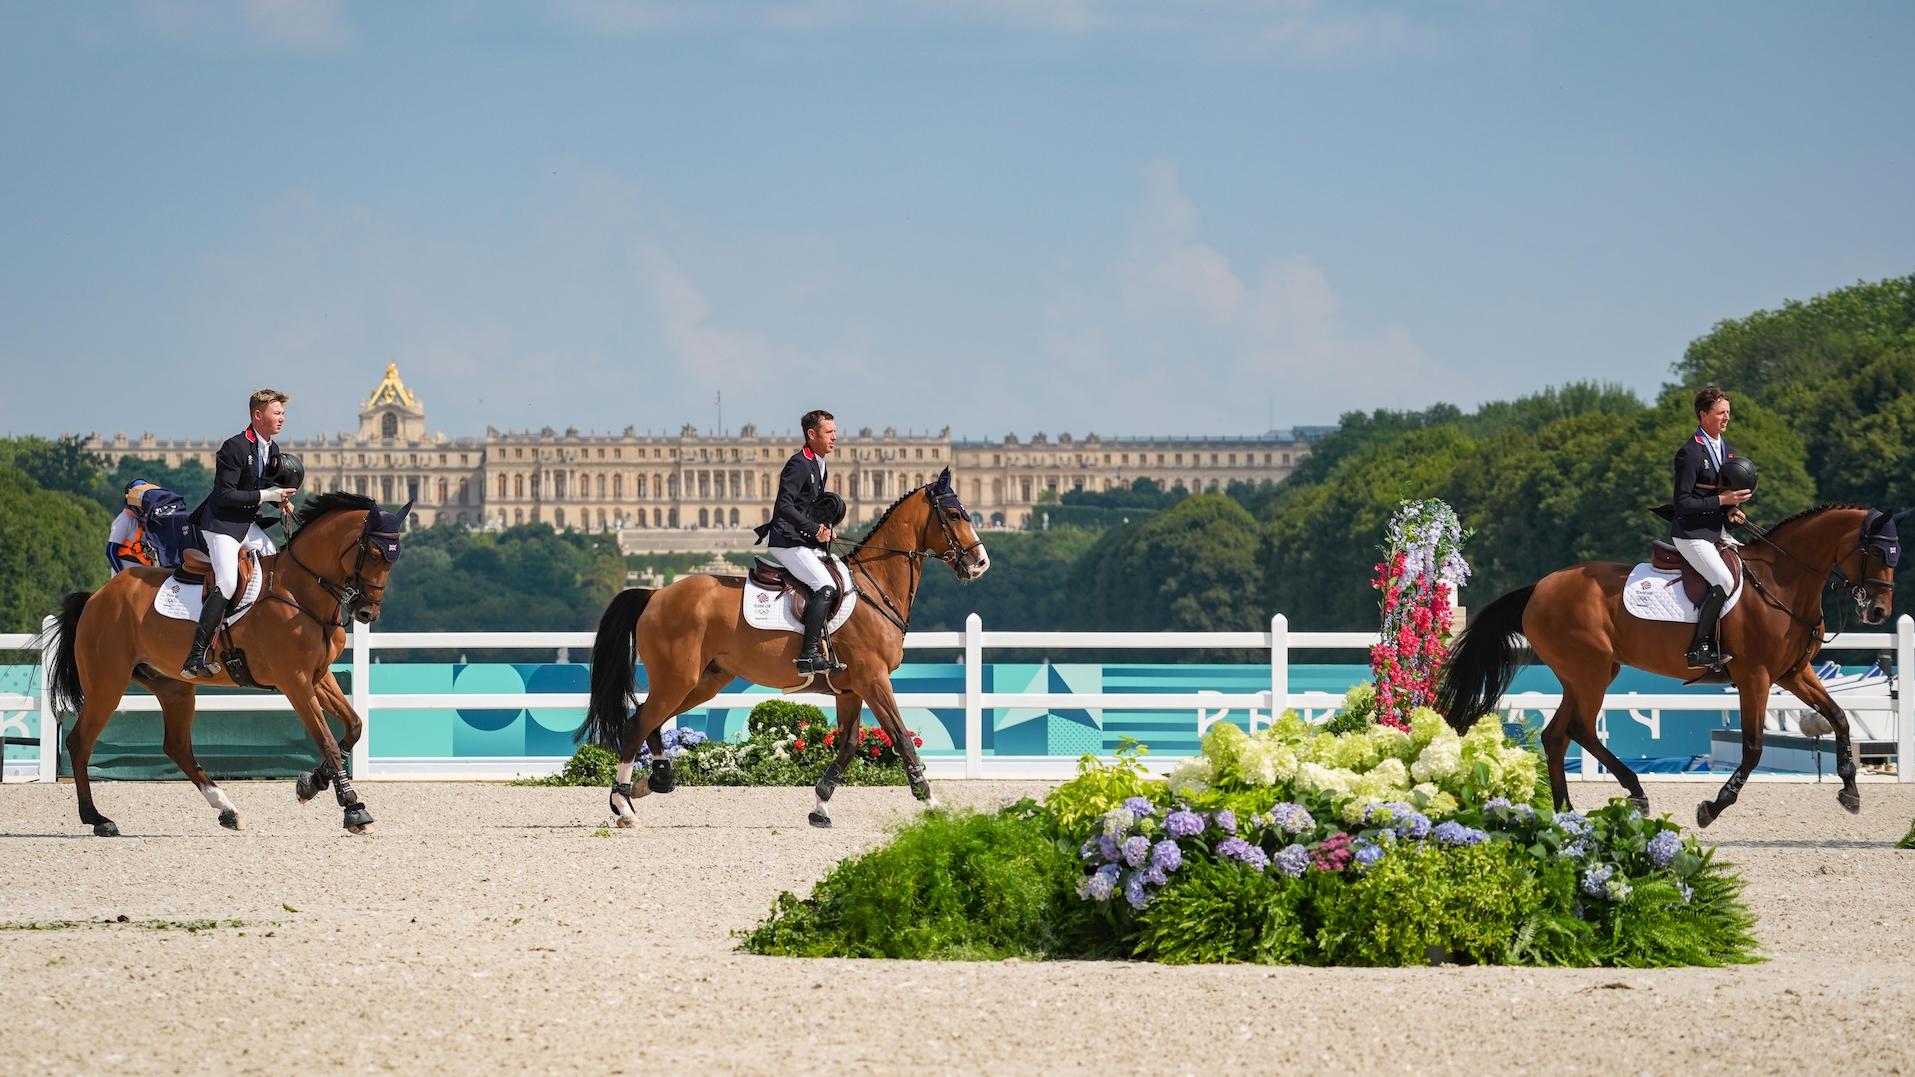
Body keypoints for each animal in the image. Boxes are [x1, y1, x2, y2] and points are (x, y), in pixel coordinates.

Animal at [43, 490, 407, 835]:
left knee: (177, 747)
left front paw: (310, 784)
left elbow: (354, 726)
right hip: (108, 684)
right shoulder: (295, 681)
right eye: (375, 554)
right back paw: (98, 819)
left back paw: (228, 810)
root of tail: (97, 596)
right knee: (80, 743)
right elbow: (329, 742)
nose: (367, 613)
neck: (301, 591)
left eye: (395, 556)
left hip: (172, 687)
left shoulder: (319, 676)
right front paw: (353, 808)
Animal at [578, 465, 995, 824]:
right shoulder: (874, 679)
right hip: (677, 679)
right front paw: (932, 801)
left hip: (703, 682)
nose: (980, 564)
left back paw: (652, 783)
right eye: (954, 514)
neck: (875, 586)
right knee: (638, 723)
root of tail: (656, 593)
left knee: (650, 721)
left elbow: (848, 745)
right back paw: (624, 805)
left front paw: (820, 806)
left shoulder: (851, 688)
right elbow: (901, 738)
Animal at [1440, 502, 1899, 820]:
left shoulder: (1794, 673)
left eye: (1895, 554)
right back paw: (1635, 792)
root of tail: (1538, 588)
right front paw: (1713, 806)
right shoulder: (1755, 677)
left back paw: (1567, 811)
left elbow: (1838, 717)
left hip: (1585, 674)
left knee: (1557, 735)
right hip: (1591, 672)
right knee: (1580, 729)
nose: (1878, 612)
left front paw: (1850, 791)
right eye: (1878, 553)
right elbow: (1753, 748)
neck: (1782, 583)